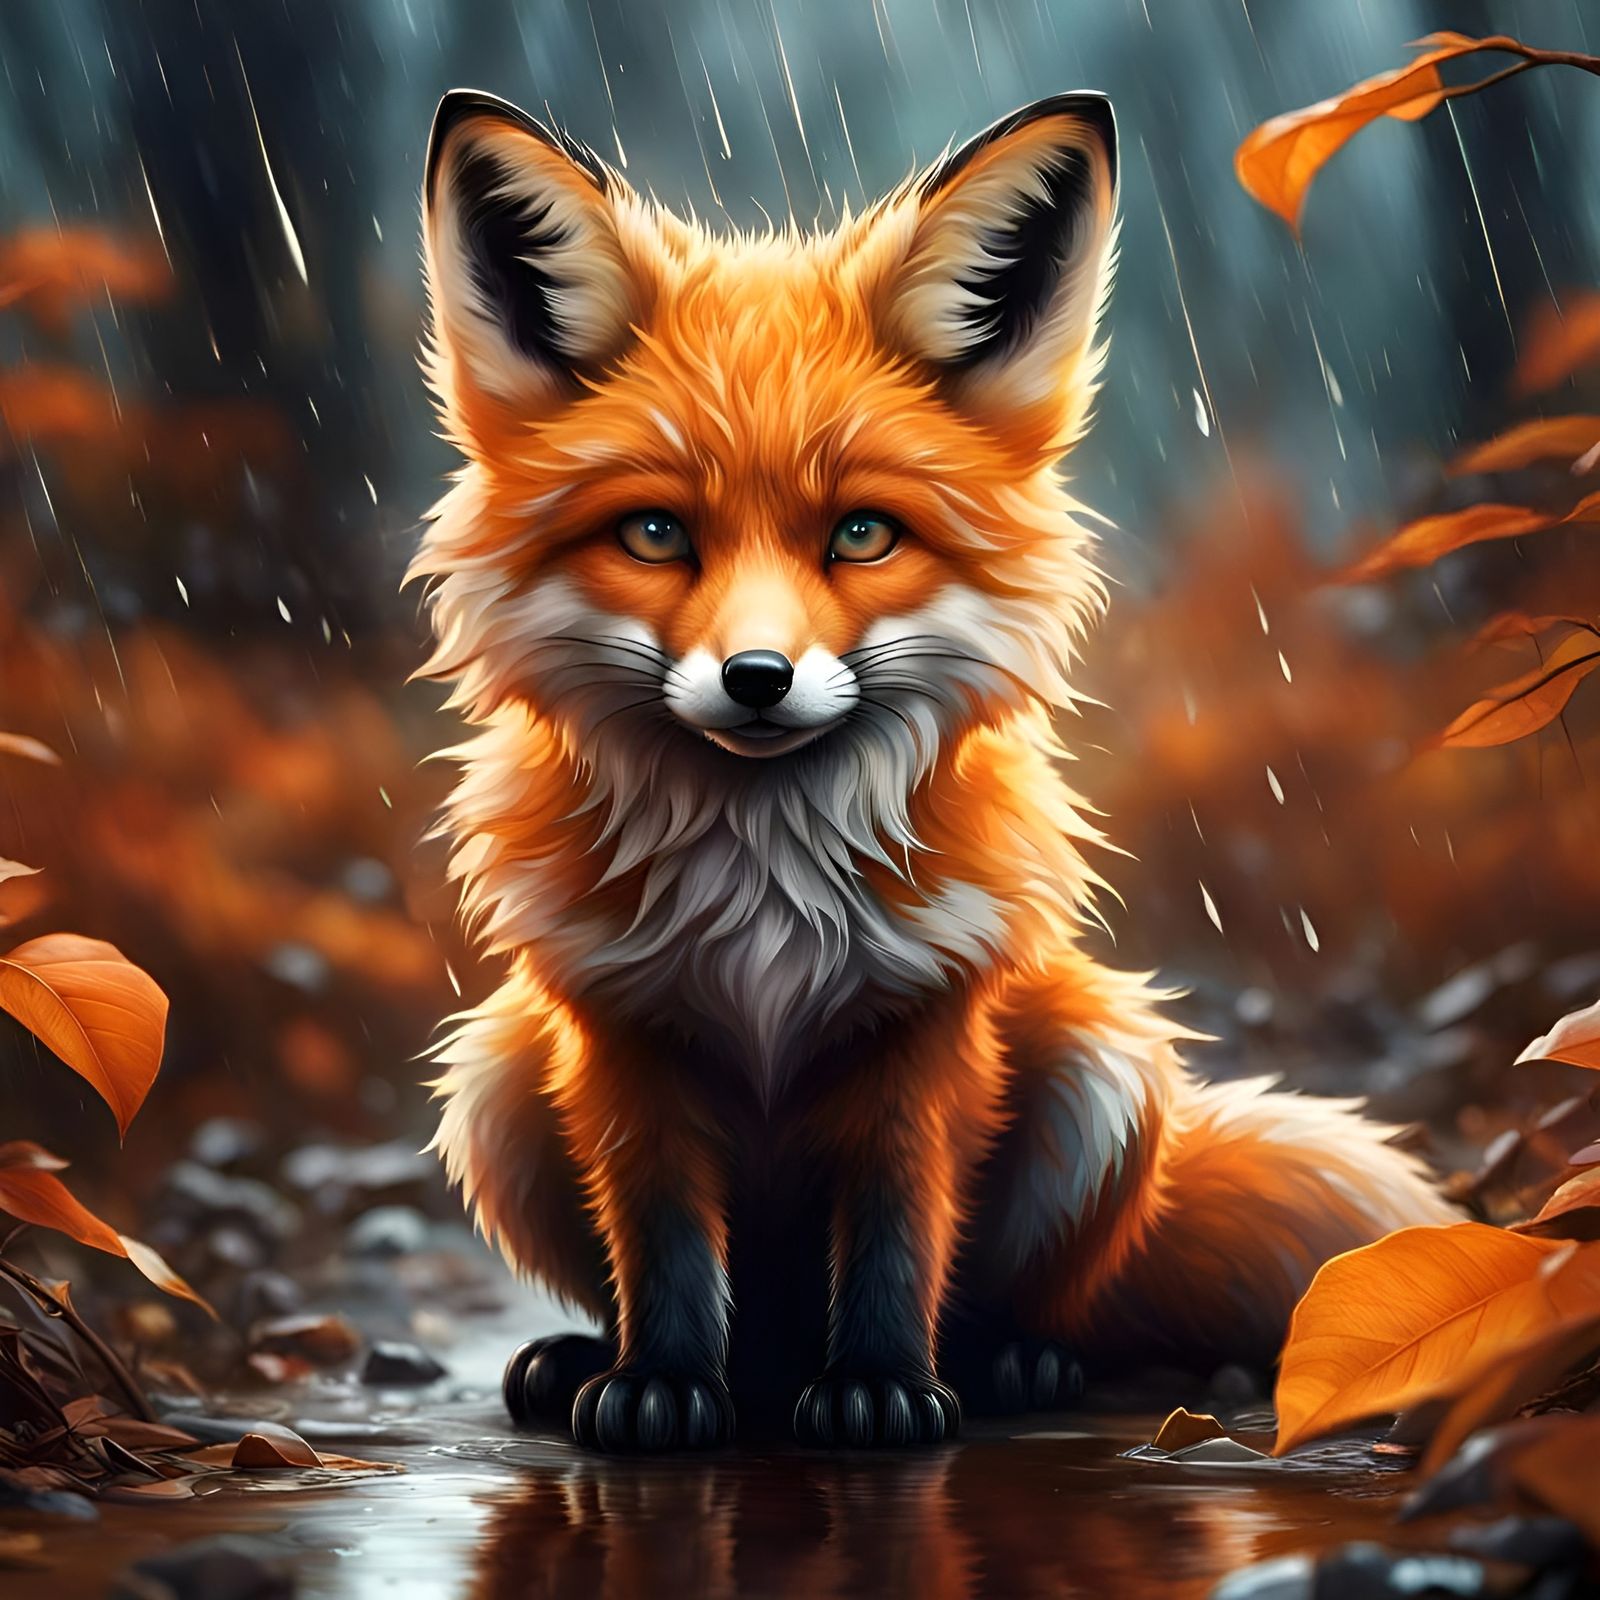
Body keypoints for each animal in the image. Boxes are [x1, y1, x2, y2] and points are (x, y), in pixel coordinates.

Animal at [412, 87, 1454, 1453]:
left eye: (861, 533)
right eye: (653, 532)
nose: (757, 677)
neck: (764, 890)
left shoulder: (929, 1027)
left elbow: (900, 1230)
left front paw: (879, 1386)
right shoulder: (619, 1034)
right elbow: (663, 1238)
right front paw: (660, 1382)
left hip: (1104, 1063)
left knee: (1034, 1306)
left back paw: (1004, 1363)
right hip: (495, 1073)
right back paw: (602, 1359)